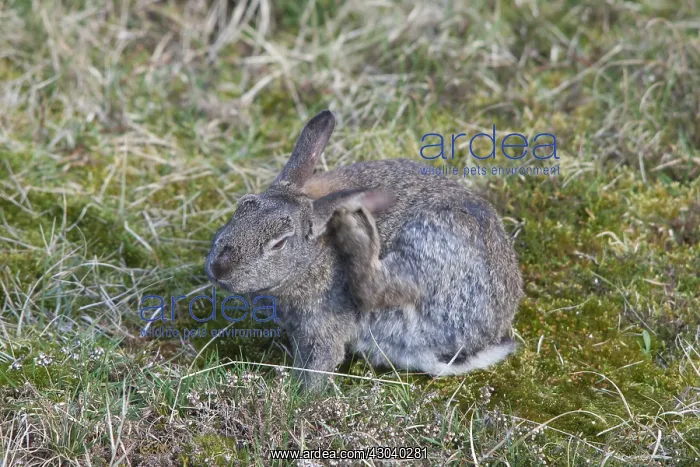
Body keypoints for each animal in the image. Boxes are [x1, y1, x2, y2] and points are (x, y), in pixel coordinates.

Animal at [205, 109, 524, 392]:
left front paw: (297, 397)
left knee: (378, 288)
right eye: (240, 209)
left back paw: (356, 231)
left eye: (280, 243)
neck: (313, 255)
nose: (219, 269)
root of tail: (486, 333)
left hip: (432, 246)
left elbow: (320, 362)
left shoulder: (322, 325)